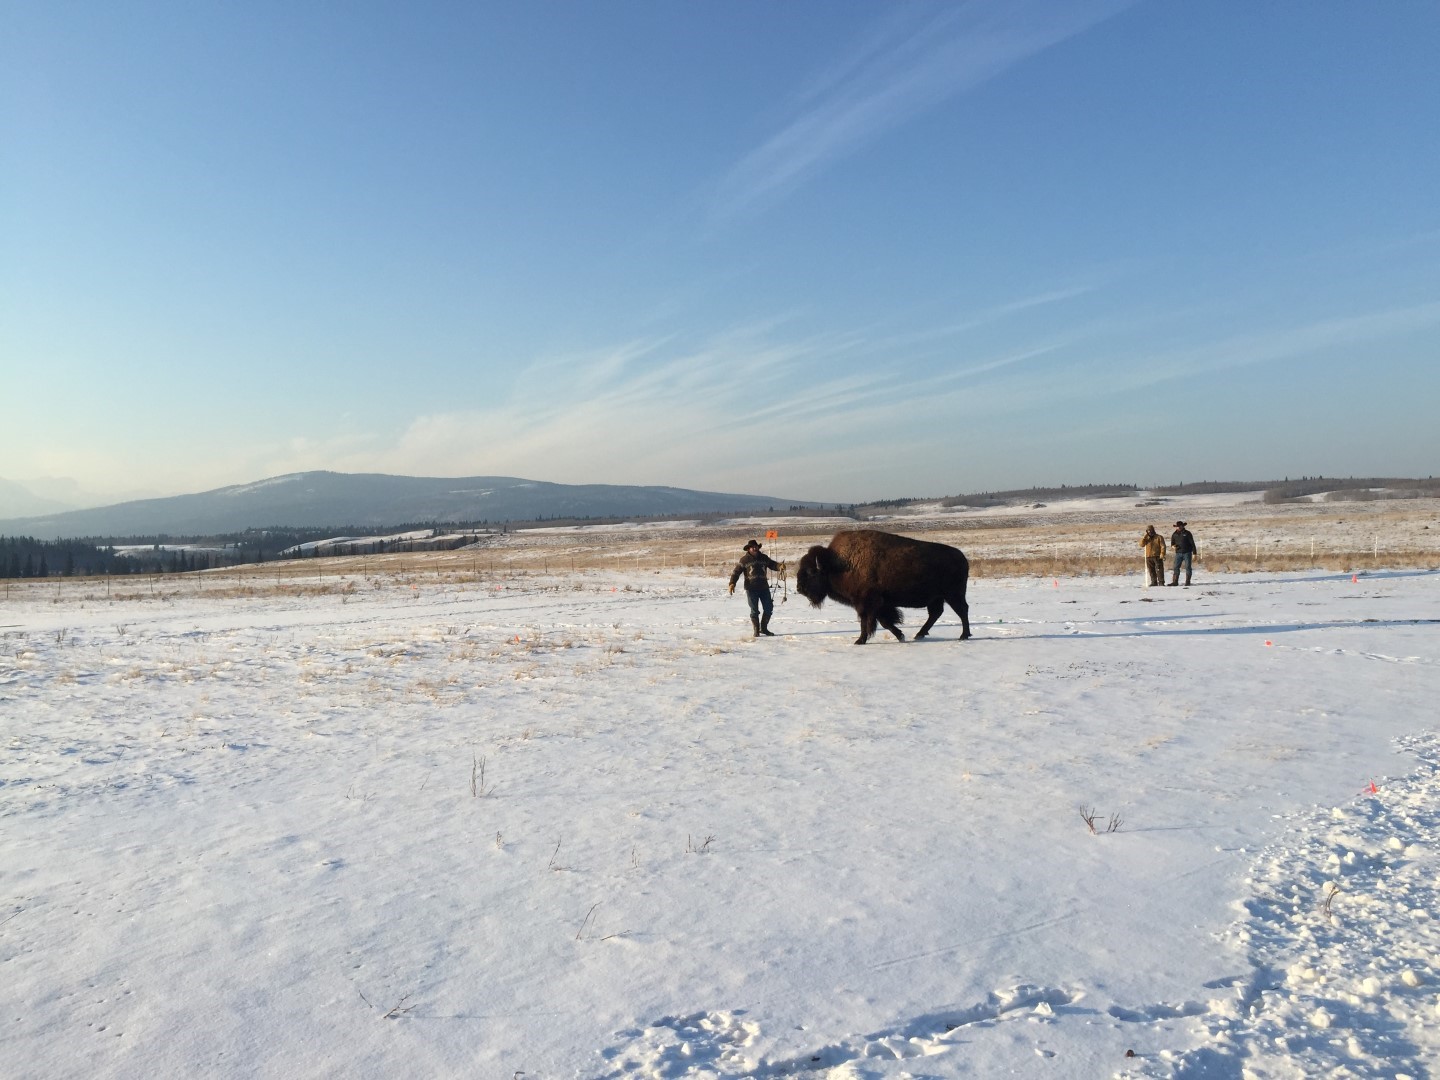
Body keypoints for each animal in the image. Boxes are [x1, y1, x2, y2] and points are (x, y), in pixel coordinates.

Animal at [795, 529, 971, 645]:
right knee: (936, 613)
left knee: (962, 610)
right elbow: (881, 621)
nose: (799, 589)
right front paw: (899, 636)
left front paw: (860, 640)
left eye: (811, 572)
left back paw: (964, 635)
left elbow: (870, 621)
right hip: (937, 598)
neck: (837, 564)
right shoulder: (878, 604)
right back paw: (919, 635)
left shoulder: (867, 602)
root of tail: (963, 558)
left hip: (953, 595)